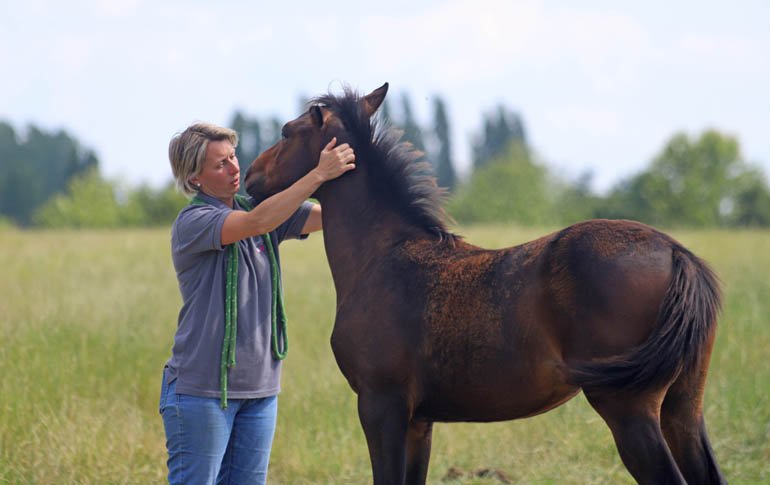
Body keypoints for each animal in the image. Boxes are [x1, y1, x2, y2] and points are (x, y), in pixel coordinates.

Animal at [245, 83, 726, 485]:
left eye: (287, 132)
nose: (249, 177)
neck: (381, 257)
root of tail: (675, 252)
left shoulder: (381, 406)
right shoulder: (419, 421)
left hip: (628, 409)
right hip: (683, 407)